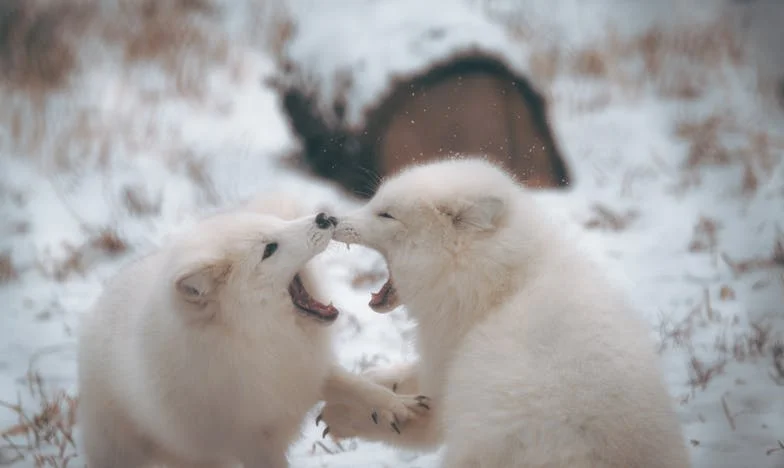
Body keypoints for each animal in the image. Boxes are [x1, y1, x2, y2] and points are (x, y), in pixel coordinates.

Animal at [77, 195, 432, 468]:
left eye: (278, 225)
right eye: (270, 249)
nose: (323, 217)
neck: (259, 340)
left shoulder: (306, 371)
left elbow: (358, 385)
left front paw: (397, 405)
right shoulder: (254, 442)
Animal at [320, 159, 692, 468]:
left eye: (386, 215)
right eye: (373, 202)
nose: (332, 219)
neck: (501, 287)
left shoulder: (447, 378)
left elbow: (417, 422)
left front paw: (346, 413)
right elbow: (396, 378)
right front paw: (361, 386)